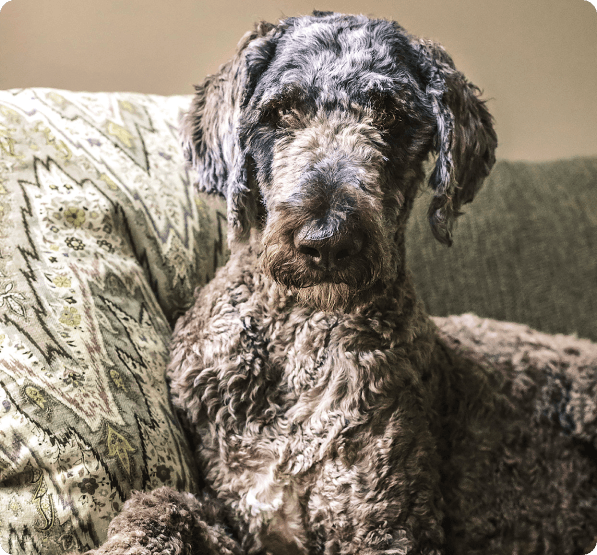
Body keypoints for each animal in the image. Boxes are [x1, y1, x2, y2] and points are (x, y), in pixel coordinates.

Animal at [74, 11, 596, 555]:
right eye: (281, 111)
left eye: (391, 115)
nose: (327, 239)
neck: (301, 333)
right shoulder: (241, 515)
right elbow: (160, 502)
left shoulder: (384, 522)